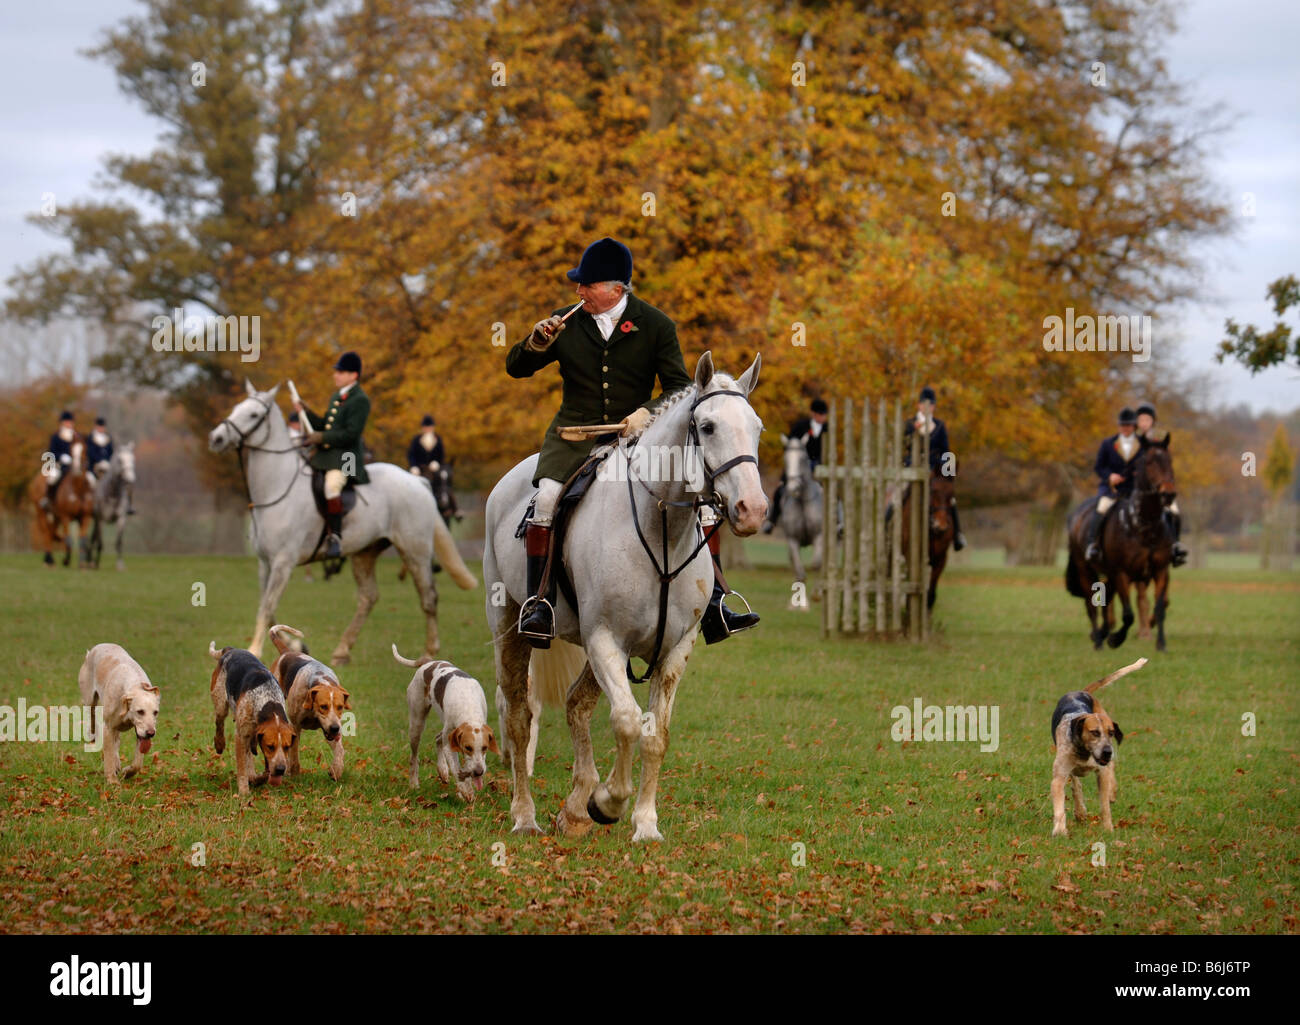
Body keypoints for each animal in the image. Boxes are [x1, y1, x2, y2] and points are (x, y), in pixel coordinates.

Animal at [208, 379, 478, 660]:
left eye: (253, 414)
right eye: (236, 408)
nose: (216, 438)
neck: (276, 489)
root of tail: (417, 480)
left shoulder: (283, 562)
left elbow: (267, 606)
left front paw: (255, 650)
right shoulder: (265, 563)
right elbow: (267, 606)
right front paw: (295, 645)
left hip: (416, 552)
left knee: (429, 597)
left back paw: (429, 652)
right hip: (364, 554)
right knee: (369, 597)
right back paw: (342, 649)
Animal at [488, 351, 769, 842]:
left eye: (756, 427)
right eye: (708, 426)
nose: (752, 510)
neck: (661, 531)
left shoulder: (674, 649)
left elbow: (655, 735)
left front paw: (644, 824)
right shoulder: (606, 641)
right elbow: (626, 721)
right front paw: (608, 802)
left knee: (576, 705)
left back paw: (574, 808)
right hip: (510, 628)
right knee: (519, 716)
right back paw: (525, 815)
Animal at [769, 431, 821, 593]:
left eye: (803, 459)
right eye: (785, 460)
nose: (793, 488)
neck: (802, 501)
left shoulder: (818, 537)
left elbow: (816, 565)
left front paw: (817, 592)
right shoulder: (793, 540)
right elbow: (800, 573)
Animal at [1066, 437, 1180, 652]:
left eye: (1170, 461)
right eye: (1149, 462)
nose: (1168, 494)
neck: (1144, 525)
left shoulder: (1161, 571)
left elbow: (1160, 607)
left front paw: (1161, 643)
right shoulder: (1122, 573)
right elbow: (1128, 615)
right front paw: (1115, 639)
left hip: (1109, 575)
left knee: (1106, 600)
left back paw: (1102, 633)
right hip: (1086, 569)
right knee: (1091, 606)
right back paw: (1099, 640)